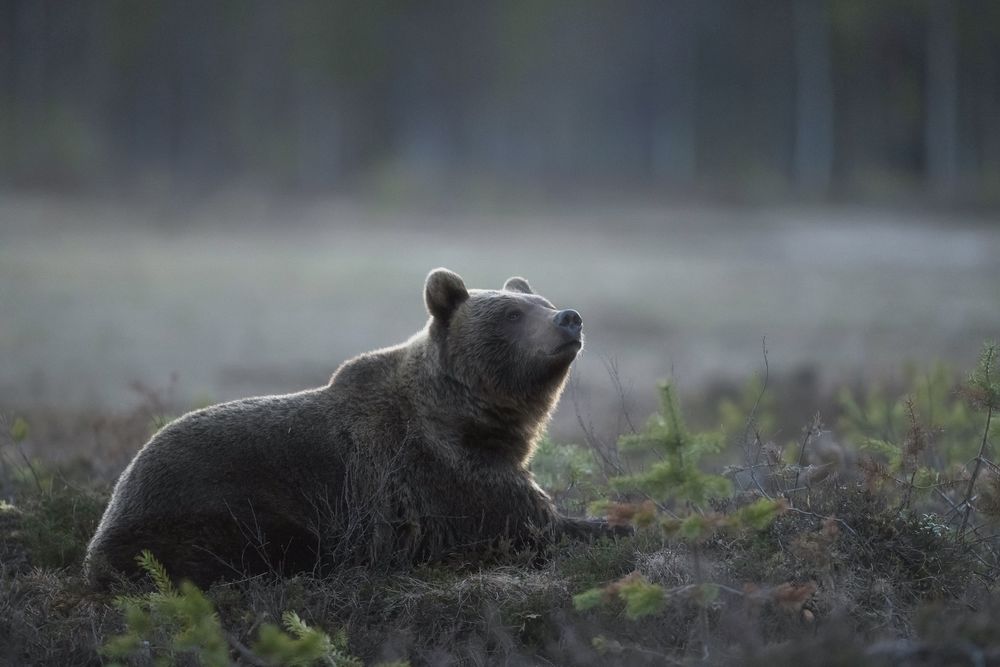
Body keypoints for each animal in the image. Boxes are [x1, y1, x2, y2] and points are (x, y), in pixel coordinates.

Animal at [86, 268, 612, 588]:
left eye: (542, 300)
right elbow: (531, 523)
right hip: (213, 514)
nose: (569, 318)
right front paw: (608, 526)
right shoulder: (443, 475)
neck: (475, 417)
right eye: (512, 313)